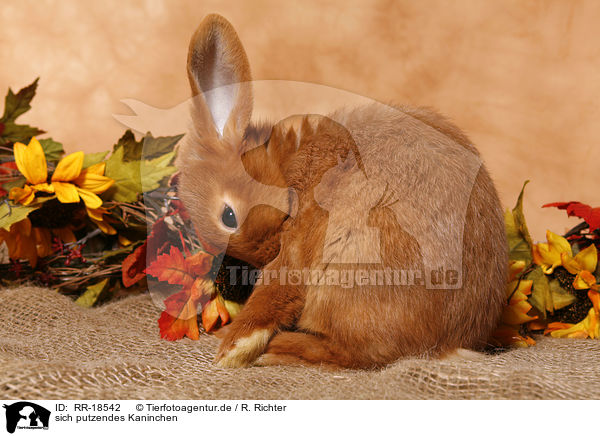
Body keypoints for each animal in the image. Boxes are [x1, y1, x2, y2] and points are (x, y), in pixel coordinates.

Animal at [177, 13, 506, 368]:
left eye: (229, 216)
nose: (266, 252)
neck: (286, 166)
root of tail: (448, 344)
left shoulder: (299, 243)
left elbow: (275, 292)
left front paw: (233, 348)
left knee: (350, 352)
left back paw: (275, 347)